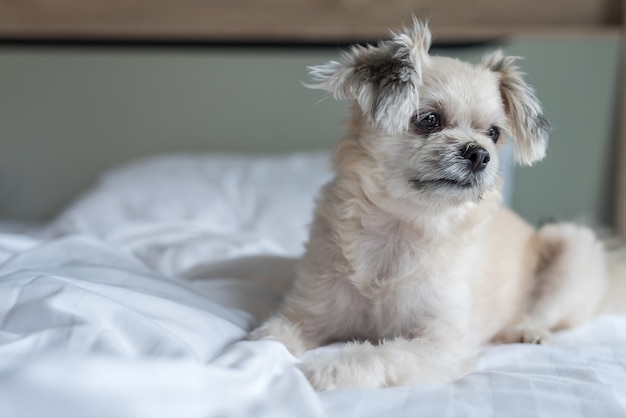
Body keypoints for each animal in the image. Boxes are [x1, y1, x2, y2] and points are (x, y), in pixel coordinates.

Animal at [247, 18, 620, 392]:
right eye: (428, 120)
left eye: (494, 133)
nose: (479, 153)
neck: (402, 224)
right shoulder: (307, 314)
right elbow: (270, 338)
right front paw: (261, 358)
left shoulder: (441, 343)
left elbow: (383, 355)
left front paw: (331, 370)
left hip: (571, 245)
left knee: (542, 313)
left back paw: (525, 330)